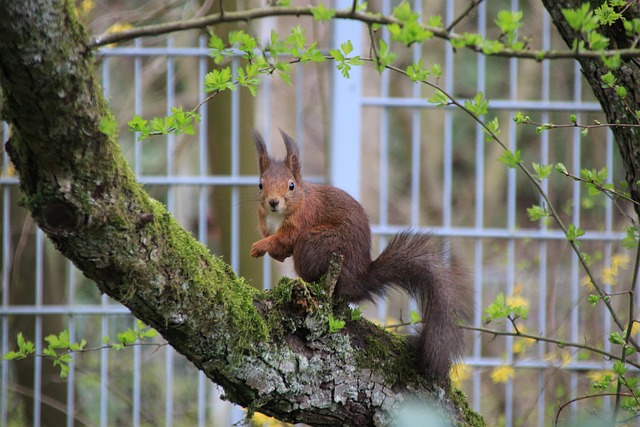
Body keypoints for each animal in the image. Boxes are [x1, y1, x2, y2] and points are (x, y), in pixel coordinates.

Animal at [250, 130, 472, 380]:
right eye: (260, 184)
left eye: (291, 186)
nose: (273, 202)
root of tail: (358, 280)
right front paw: (269, 251)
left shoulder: (301, 221)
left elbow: (284, 239)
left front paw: (260, 246)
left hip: (315, 243)